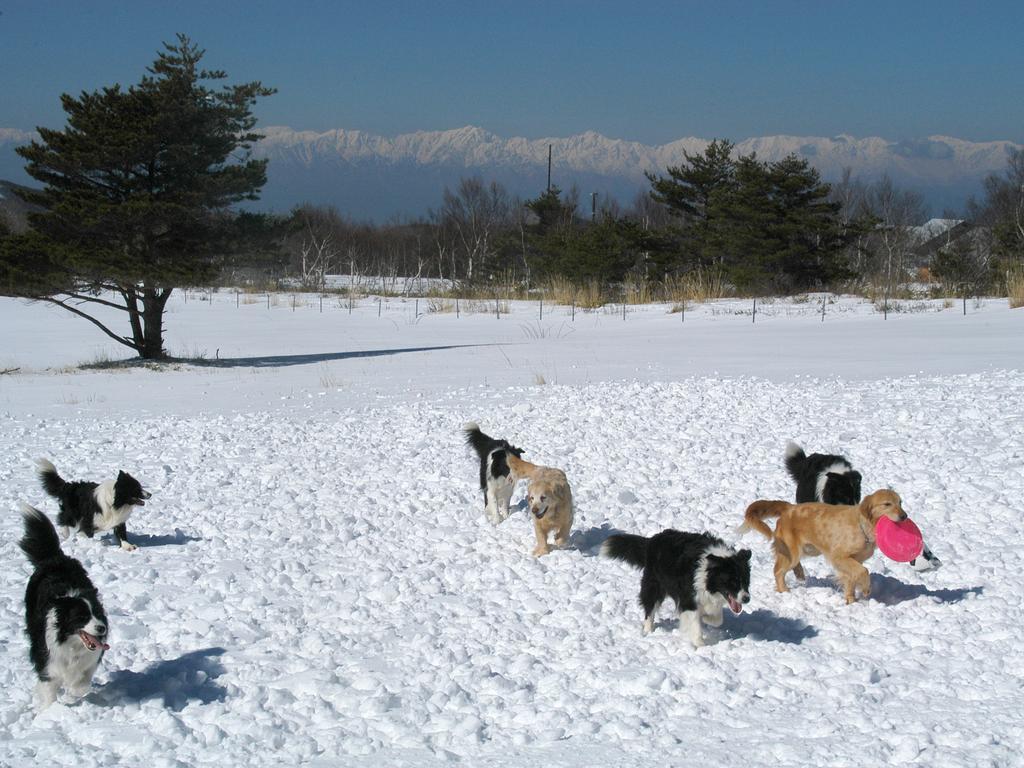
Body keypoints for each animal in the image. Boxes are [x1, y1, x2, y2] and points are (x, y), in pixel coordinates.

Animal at [741, 489, 909, 606]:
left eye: (900, 503)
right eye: (887, 504)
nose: (904, 516)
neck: (863, 525)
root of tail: (789, 507)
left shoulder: (854, 561)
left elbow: (852, 578)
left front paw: (851, 600)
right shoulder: (839, 557)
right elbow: (863, 571)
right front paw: (866, 589)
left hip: (809, 549)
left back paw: (799, 573)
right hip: (792, 551)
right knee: (778, 571)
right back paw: (784, 590)